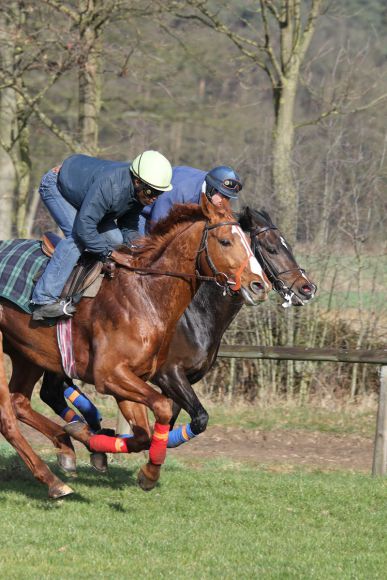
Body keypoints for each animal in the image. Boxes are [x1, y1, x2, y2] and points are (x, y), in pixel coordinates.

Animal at [0, 197, 270, 496]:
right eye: (225, 241)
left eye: (248, 242)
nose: (260, 285)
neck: (145, 295)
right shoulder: (115, 375)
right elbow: (163, 408)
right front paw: (144, 468)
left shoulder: (132, 378)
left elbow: (144, 434)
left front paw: (92, 440)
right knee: (8, 416)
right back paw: (53, 479)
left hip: (27, 353)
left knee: (20, 402)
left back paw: (64, 448)